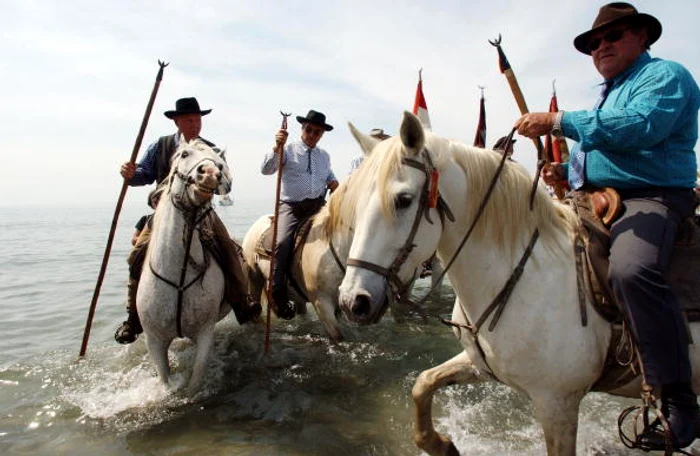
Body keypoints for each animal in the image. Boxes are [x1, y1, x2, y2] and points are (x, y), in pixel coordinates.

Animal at [137, 136, 232, 392]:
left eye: (220, 164)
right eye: (184, 154)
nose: (209, 174)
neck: (178, 276)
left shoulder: (205, 332)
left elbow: (196, 379)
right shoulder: (154, 340)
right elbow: (165, 379)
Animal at [336, 112, 700, 454]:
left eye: (403, 199)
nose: (353, 302)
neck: (524, 274)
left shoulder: (557, 403)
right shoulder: (481, 365)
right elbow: (423, 383)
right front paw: (442, 445)